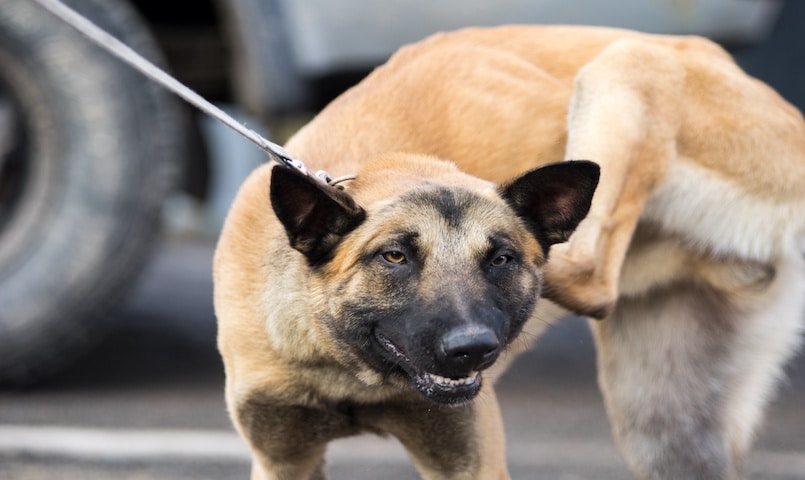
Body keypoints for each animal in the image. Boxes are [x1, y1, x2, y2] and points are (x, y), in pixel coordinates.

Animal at [214, 26, 804, 480]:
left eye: (500, 260)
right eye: (394, 257)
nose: (473, 349)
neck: (344, 368)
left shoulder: (466, 458)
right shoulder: (283, 459)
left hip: (623, 66)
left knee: (591, 273)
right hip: (668, 430)